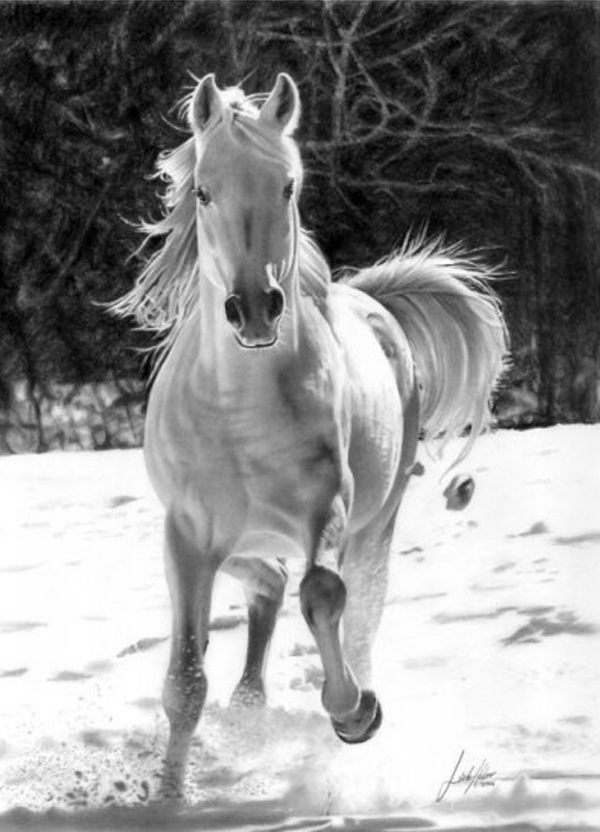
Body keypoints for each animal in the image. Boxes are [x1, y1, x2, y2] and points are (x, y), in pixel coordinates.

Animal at [114, 72, 508, 798]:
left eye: (288, 186)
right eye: (203, 191)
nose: (254, 308)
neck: (240, 413)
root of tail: (372, 303)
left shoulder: (329, 508)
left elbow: (323, 594)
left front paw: (354, 712)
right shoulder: (186, 531)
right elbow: (185, 682)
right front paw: (170, 796)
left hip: (374, 525)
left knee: (354, 615)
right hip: (236, 536)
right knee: (267, 580)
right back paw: (249, 701)